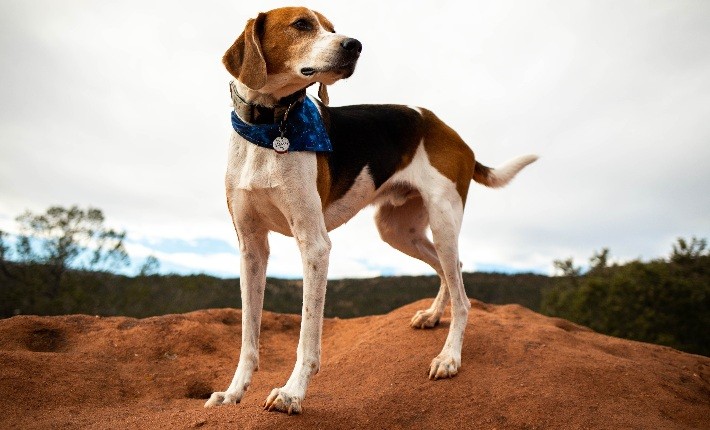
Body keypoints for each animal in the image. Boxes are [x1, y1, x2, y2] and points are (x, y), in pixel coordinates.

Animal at [206, 6, 540, 414]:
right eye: (302, 24)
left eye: (332, 27)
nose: (354, 45)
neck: (269, 127)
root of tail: (454, 134)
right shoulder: (251, 247)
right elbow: (248, 337)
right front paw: (234, 392)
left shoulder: (314, 245)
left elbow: (307, 337)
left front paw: (292, 392)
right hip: (398, 230)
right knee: (453, 270)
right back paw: (432, 316)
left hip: (443, 221)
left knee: (463, 297)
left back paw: (449, 357)